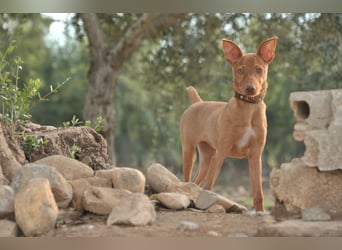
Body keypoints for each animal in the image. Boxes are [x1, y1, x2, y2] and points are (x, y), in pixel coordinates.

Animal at [180, 35, 276, 211]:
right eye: (240, 70)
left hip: (207, 157)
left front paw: (260, 212)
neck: (248, 110)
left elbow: (258, 193)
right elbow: (209, 185)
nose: (250, 89)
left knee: (195, 182)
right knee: (187, 180)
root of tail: (198, 103)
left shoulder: (255, 156)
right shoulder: (222, 152)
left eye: (259, 69)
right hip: (189, 150)